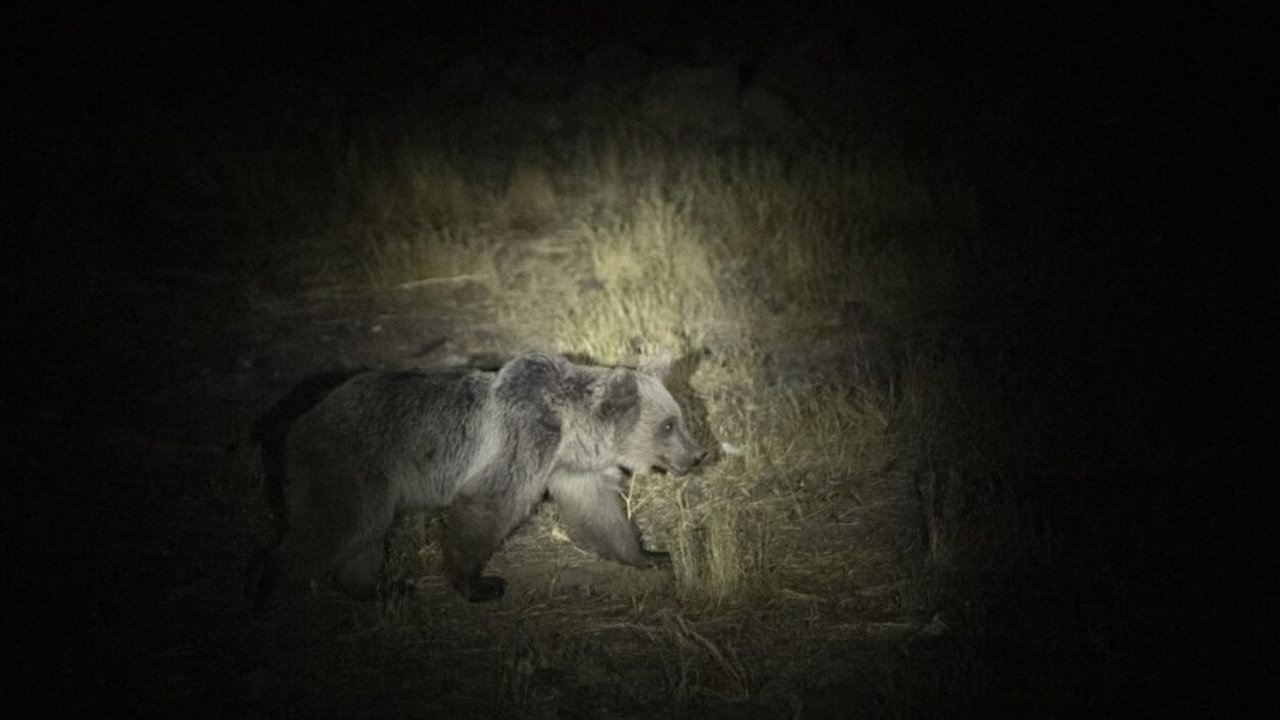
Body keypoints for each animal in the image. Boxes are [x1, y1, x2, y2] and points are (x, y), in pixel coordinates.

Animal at [254, 351, 706, 602]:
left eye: (679, 418)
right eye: (669, 425)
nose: (698, 455)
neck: (568, 427)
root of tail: (298, 423)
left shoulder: (566, 466)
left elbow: (600, 513)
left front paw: (652, 555)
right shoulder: (523, 440)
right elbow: (490, 506)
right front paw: (480, 584)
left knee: (363, 536)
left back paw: (382, 588)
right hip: (351, 466)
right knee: (336, 527)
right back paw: (269, 584)